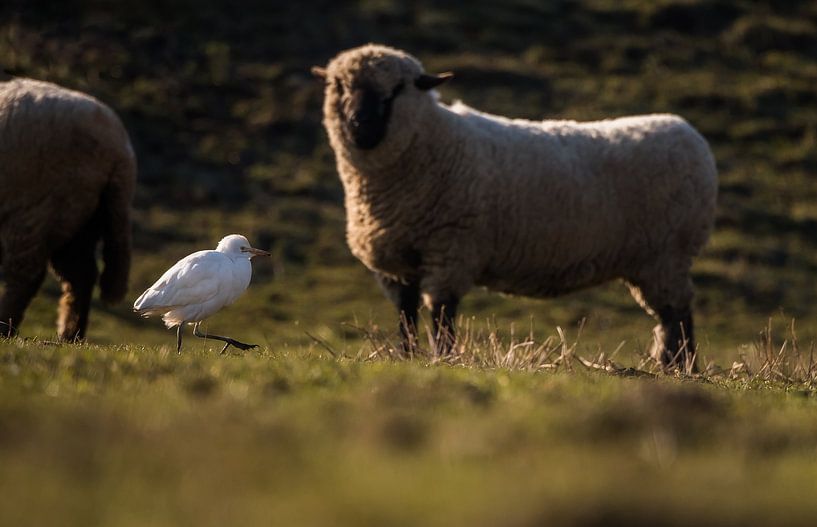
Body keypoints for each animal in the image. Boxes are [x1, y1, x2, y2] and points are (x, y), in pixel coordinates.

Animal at [0, 77, 136, 341]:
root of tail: (119, 149)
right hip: (81, 216)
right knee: (81, 274)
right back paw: (70, 334)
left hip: (38, 207)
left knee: (25, 275)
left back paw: (5, 325)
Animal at [312, 44, 718, 370]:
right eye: (339, 86)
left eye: (397, 89)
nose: (359, 124)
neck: (433, 142)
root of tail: (687, 133)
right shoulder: (397, 263)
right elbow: (406, 316)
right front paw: (407, 357)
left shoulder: (450, 249)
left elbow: (442, 315)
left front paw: (444, 359)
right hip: (656, 260)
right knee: (670, 316)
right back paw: (671, 364)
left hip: (667, 254)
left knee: (679, 313)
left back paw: (684, 367)